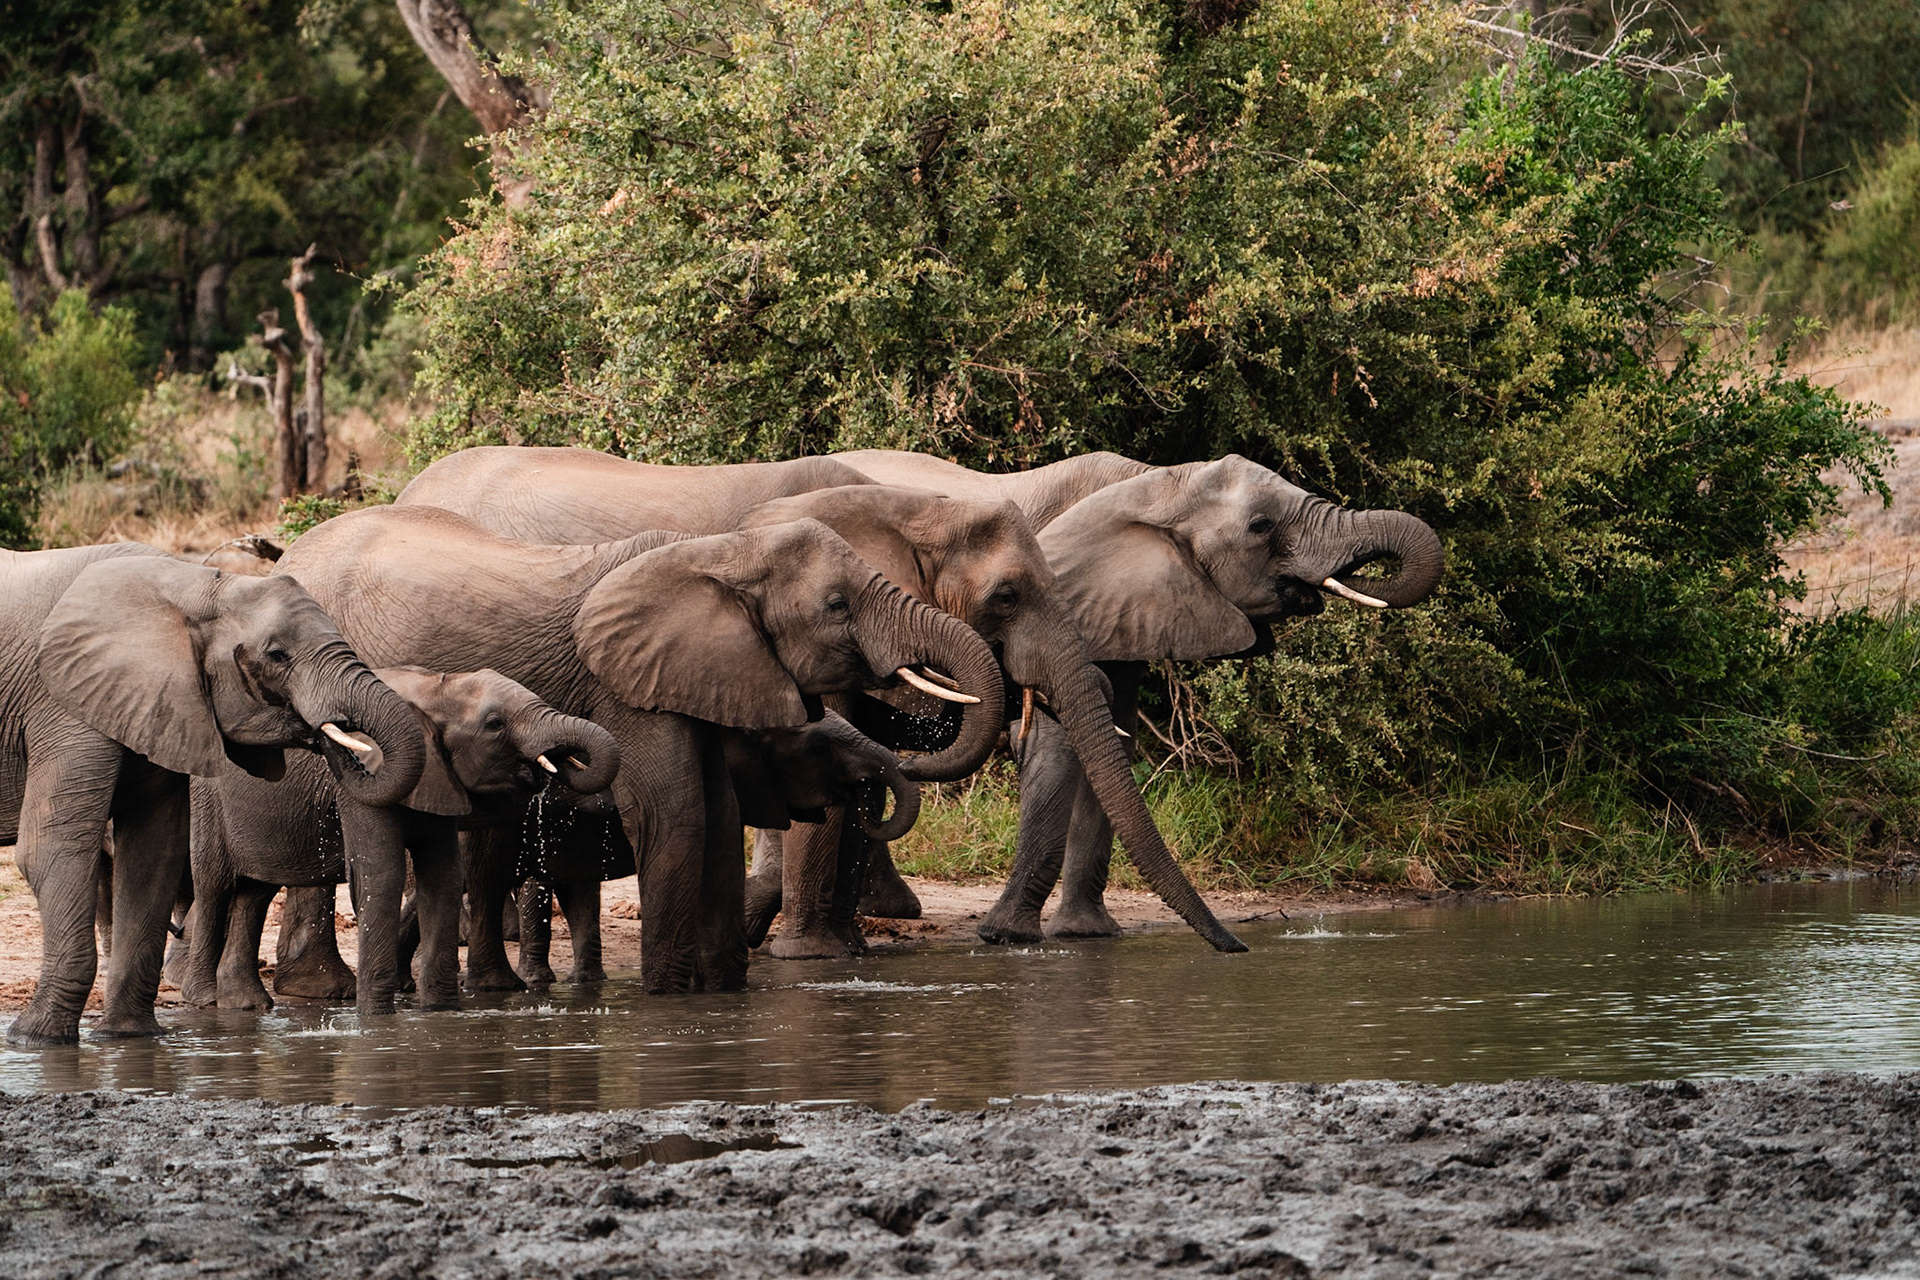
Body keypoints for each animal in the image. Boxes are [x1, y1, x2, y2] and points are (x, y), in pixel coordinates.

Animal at [0, 544, 426, 1045]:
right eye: (277, 655)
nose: (334, 735)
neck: (193, 587)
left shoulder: (155, 703)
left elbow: (152, 854)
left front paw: (129, 1039)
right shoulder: (63, 702)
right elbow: (52, 847)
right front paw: (36, 1039)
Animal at [186, 667, 619, 1012]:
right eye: (495, 724)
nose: (557, 759)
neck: (433, 689)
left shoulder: (441, 780)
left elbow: (444, 880)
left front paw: (440, 1013)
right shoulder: (362, 784)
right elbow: (382, 875)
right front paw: (377, 1019)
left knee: (254, 893)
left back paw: (246, 1006)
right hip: (207, 800)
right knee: (214, 888)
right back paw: (204, 1001)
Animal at [269, 506, 1004, 993]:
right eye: (836, 606)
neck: (718, 549)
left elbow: (718, 816)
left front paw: (724, 994)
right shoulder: (628, 687)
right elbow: (674, 813)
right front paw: (668, 999)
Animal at [837, 450, 1446, 942]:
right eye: (1260, 525)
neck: (1157, 482)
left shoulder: (1125, 611)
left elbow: (1113, 745)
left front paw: (1086, 936)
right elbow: (1062, 747)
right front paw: (1007, 938)